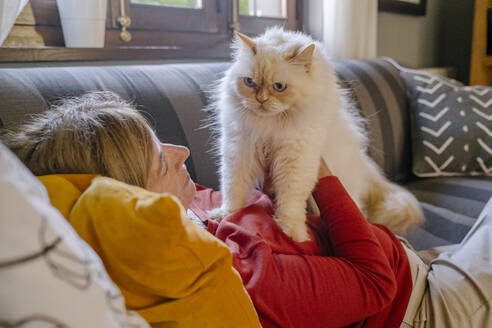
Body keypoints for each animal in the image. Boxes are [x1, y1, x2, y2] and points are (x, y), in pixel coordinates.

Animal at [208, 27, 422, 241]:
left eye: (279, 87)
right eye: (250, 82)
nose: (260, 100)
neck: (269, 126)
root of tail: (365, 166)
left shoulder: (297, 157)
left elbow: (291, 200)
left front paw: (292, 231)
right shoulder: (240, 151)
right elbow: (233, 189)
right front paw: (225, 214)